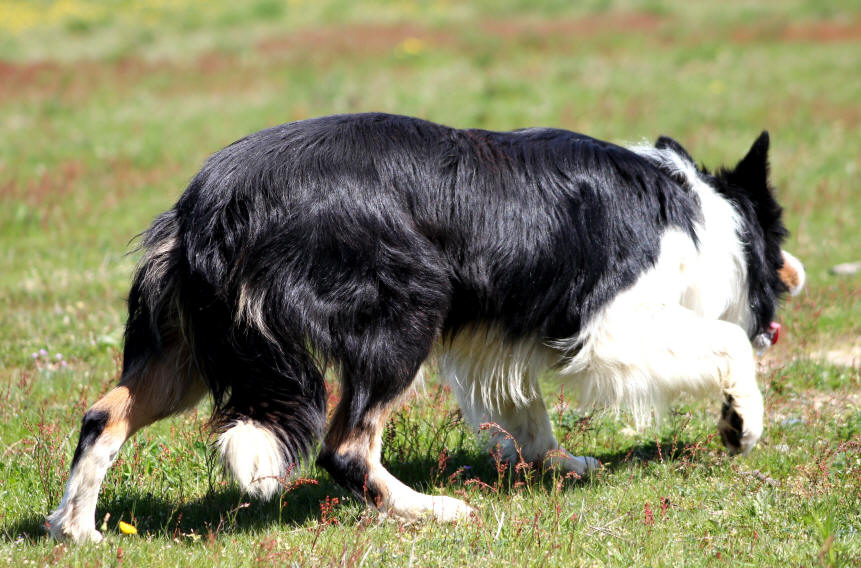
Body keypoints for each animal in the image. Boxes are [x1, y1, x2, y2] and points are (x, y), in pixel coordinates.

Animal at [47, 112, 804, 540]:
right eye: (775, 246)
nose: (794, 278)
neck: (703, 214)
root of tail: (212, 201)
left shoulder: (501, 334)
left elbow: (525, 413)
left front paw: (559, 463)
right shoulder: (608, 328)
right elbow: (724, 341)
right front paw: (742, 422)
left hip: (186, 345)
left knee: (102, 414)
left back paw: (77, 531)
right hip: (406, 306)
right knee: (345, 447)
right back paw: (431, 510)